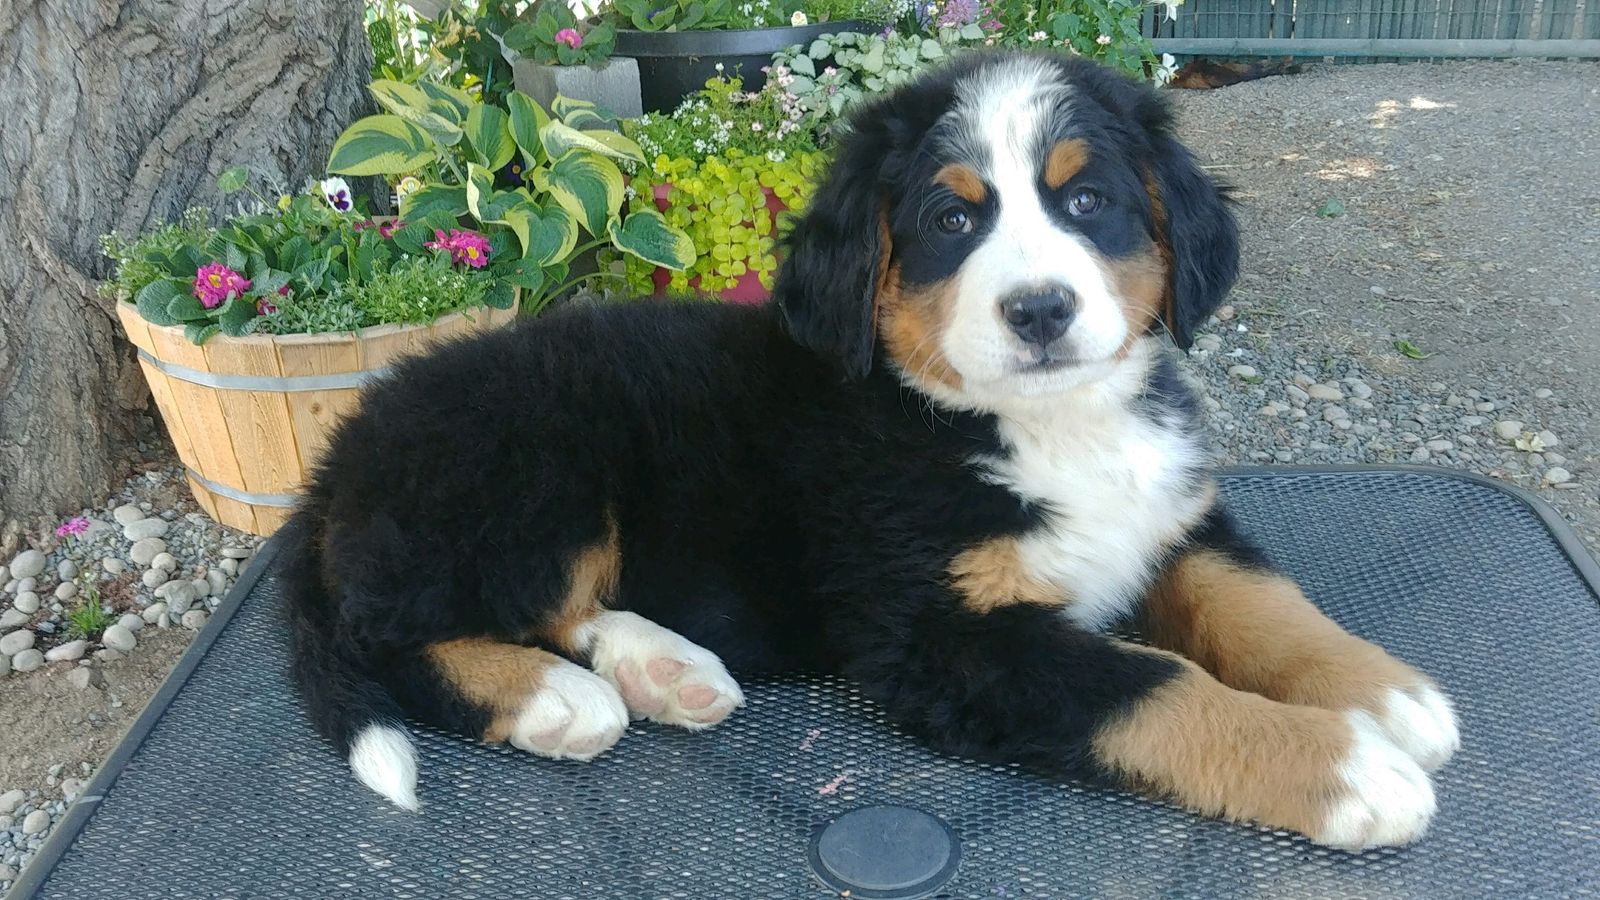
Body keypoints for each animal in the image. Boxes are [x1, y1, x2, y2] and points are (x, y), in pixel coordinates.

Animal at [284, 51, 1458, 851]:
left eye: (1088, 201)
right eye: (951, 221)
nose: (1040, 310)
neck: (1033, 425)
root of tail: (349, 447)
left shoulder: (1169, 518)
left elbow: (1258, 601)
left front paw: (1381, 693)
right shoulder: (947, 637)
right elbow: (1155, 684)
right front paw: (1350, 771)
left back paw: (662, 667)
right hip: (535, 469)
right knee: (393, 635)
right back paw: (555, 700)